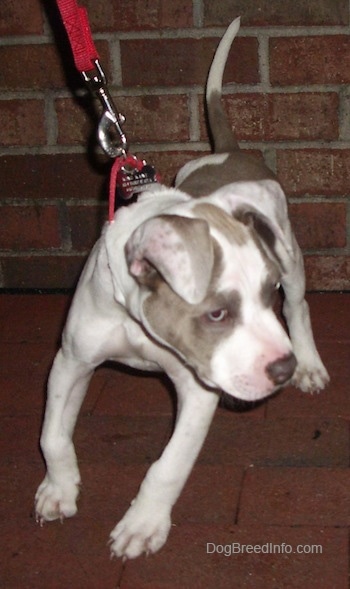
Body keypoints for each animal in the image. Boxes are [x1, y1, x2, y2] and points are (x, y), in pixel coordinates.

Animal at [34, 18, 328, 560]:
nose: (283, 369)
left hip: (291, 259)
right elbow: (53, 436)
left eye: (265, 294)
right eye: (216, 314)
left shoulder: (196, 390)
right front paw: (58, 489)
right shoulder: (70, 361)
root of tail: (232, 151)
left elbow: (168, 466)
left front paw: (142, 524)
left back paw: (311, 365)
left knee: (298, 307)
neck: (138, 323)